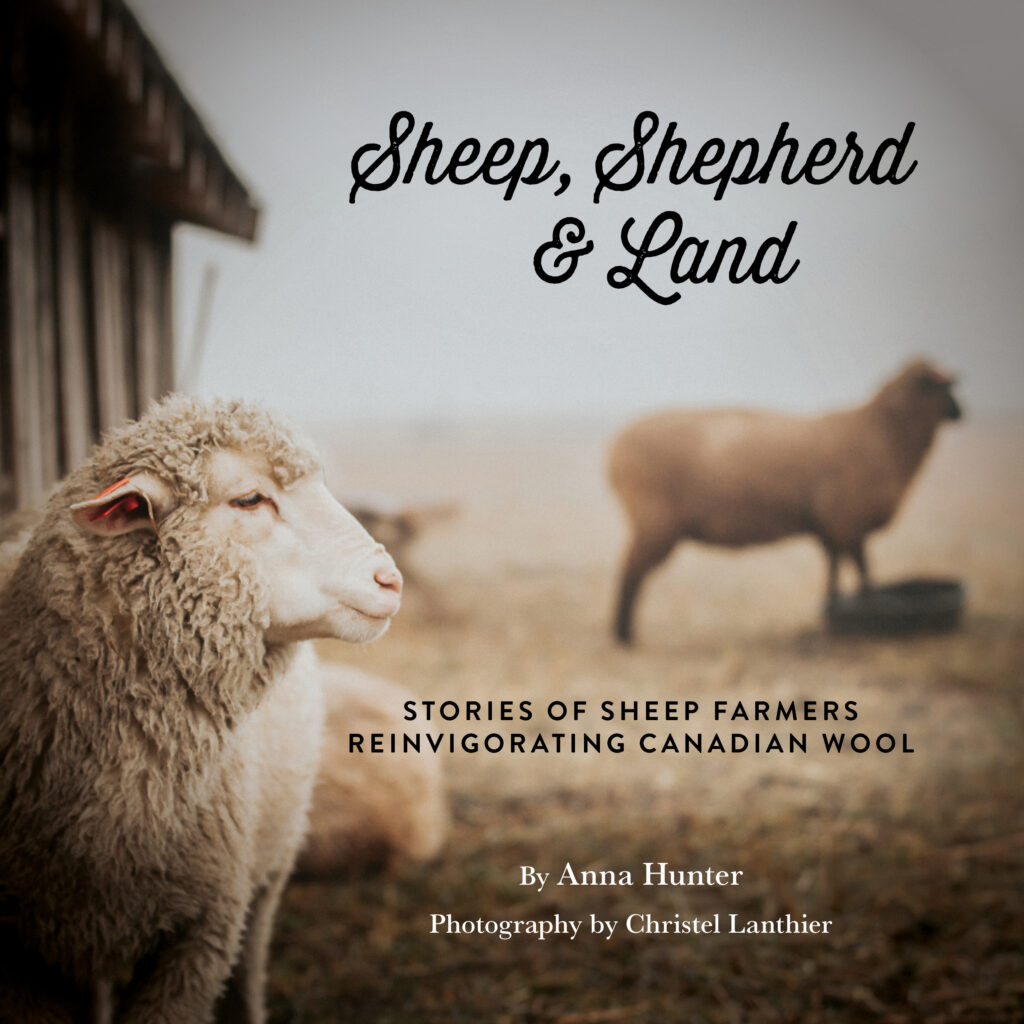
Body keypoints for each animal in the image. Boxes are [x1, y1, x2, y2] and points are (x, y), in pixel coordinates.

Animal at [608, 359, 962, 644]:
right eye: (939, 386)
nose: (961, 411)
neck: (884, 432)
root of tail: (614, 449)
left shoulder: (832, 528)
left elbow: (835, 569)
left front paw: (835, 607)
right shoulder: (848, 521)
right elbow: (864, 573)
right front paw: (870, 610)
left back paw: (624, 632)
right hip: (654, 522)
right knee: (630, 573)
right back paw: (623, 634)